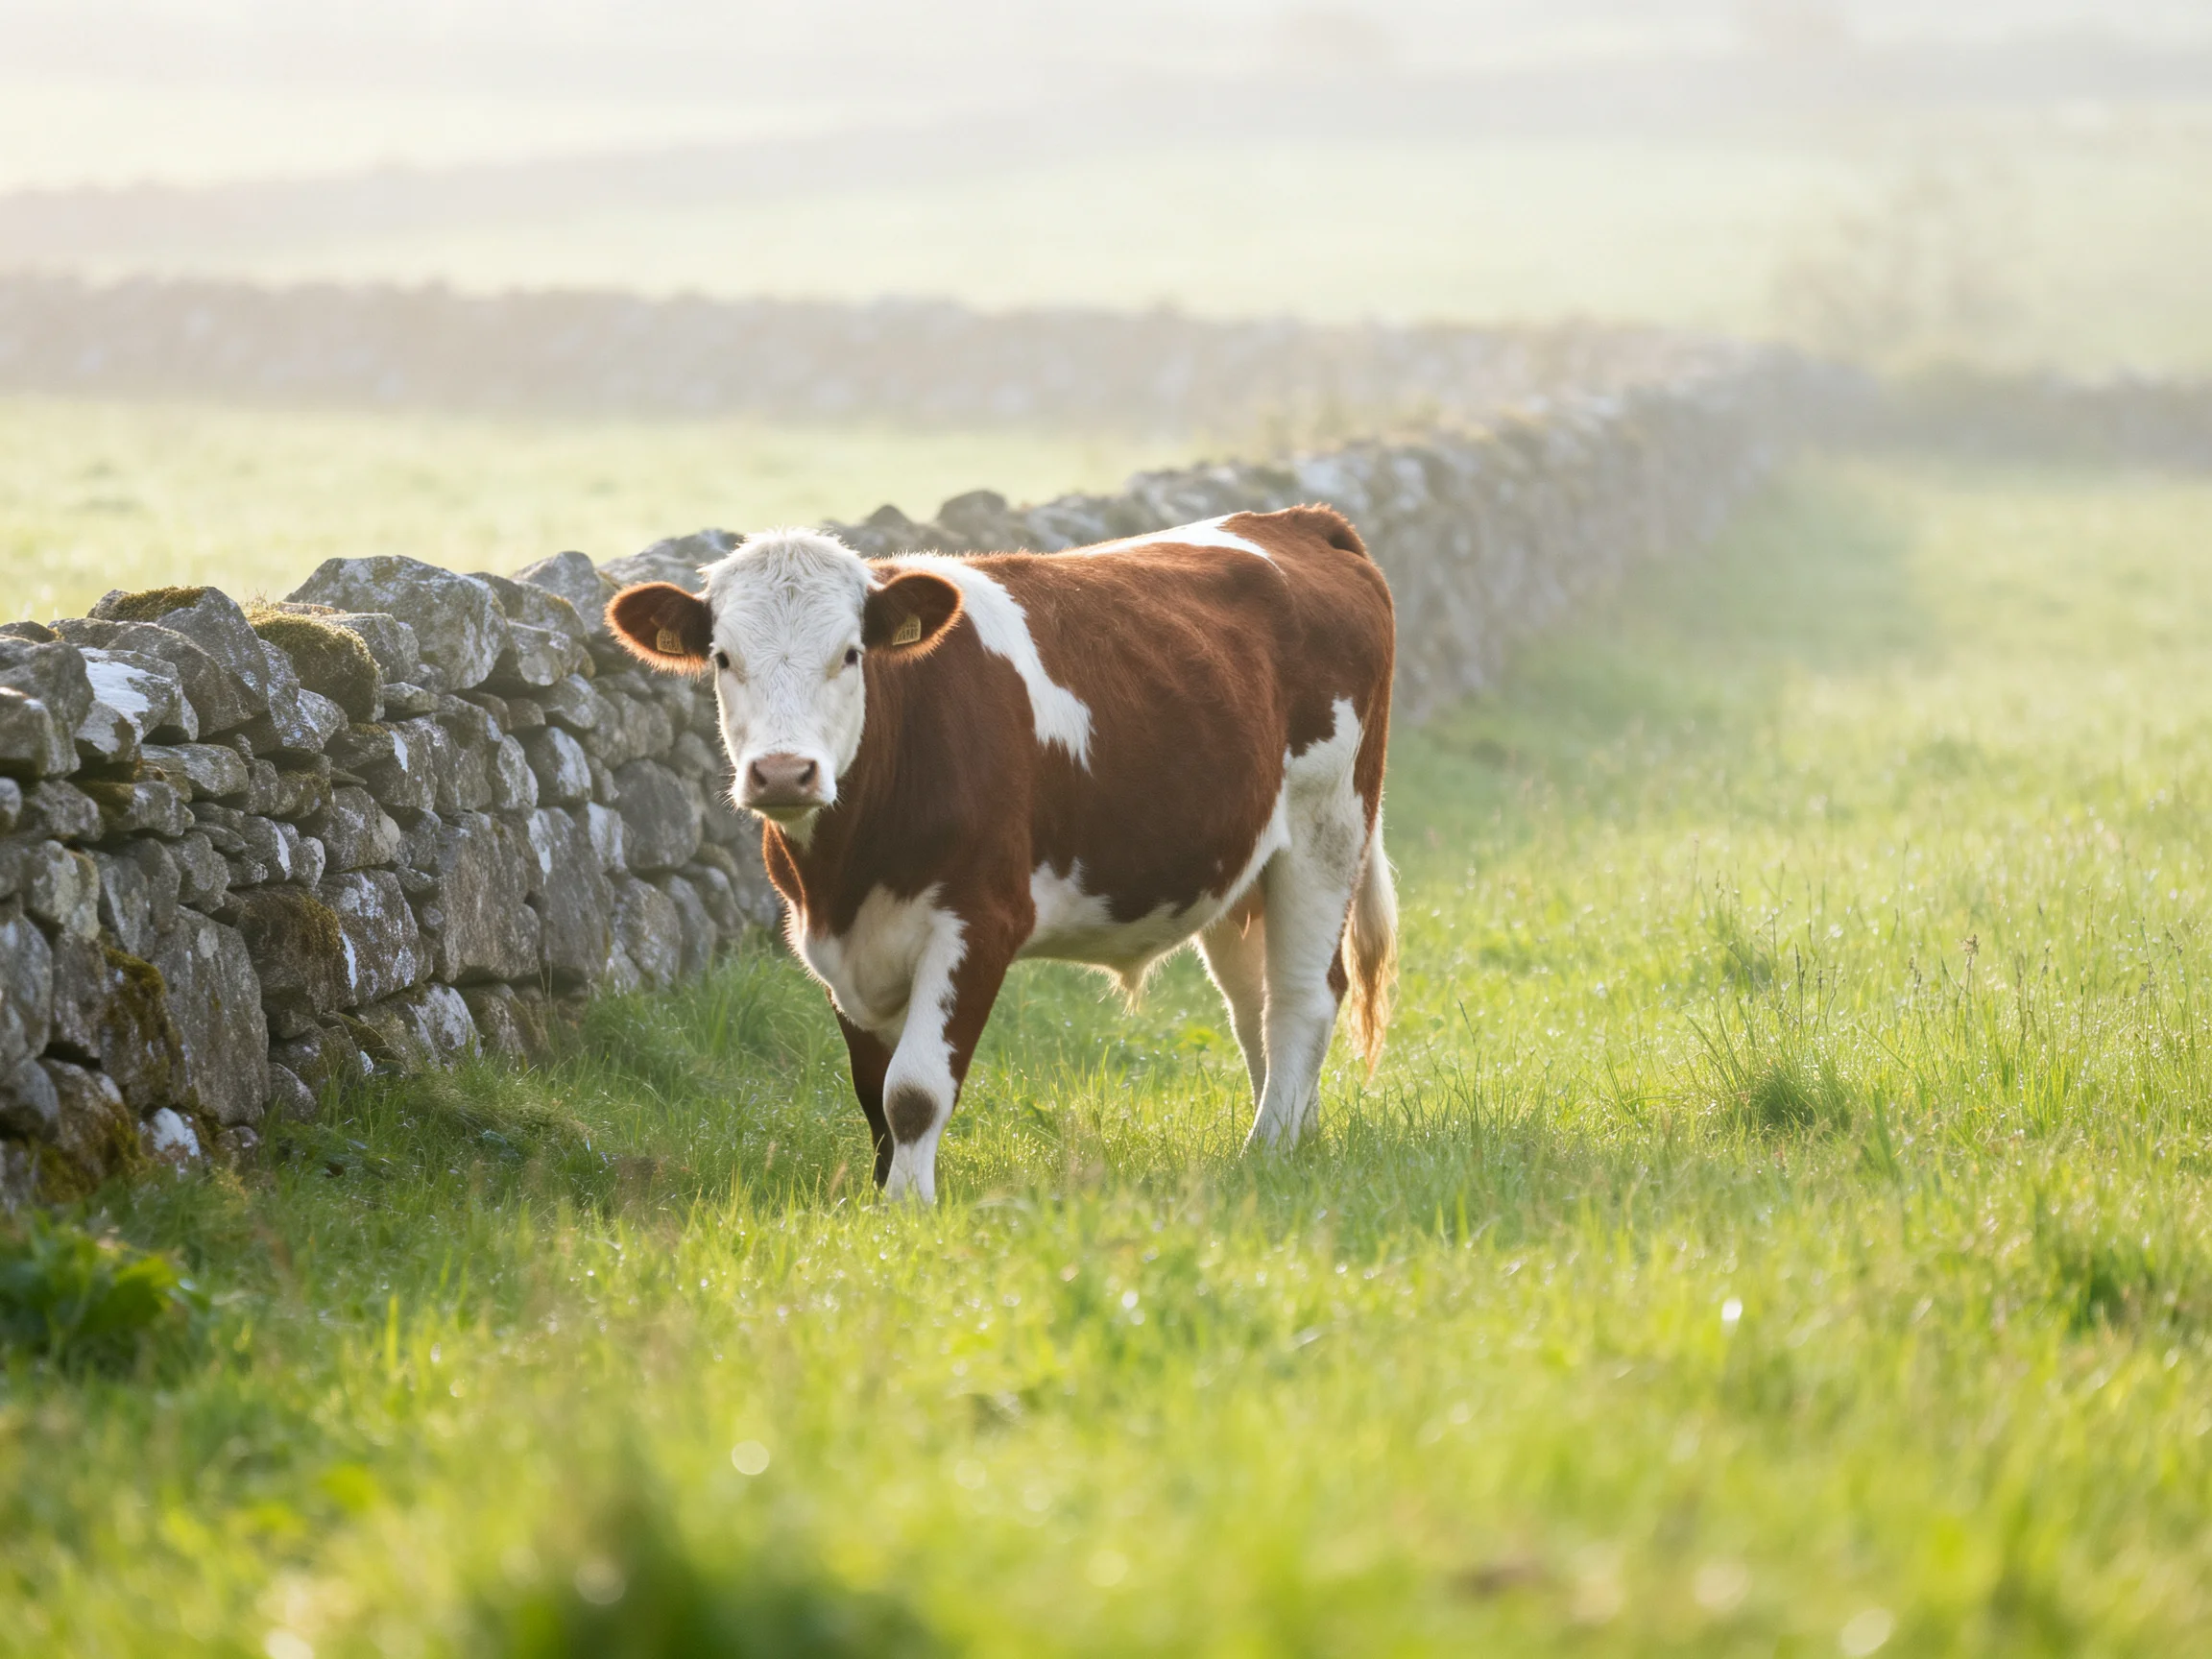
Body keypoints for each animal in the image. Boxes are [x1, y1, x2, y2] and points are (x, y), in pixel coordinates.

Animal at [607, 505, 1397, 1202]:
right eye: (722, 657)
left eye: (851, 655)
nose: (781, 773)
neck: (847, 871)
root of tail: (1295, 520)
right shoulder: (837, 946)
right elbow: (871, 1091)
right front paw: (879, 1200)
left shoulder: (979, 919)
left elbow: (914, 1091)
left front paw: (909, 1212)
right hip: (1237, 866)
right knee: (1252, 1003)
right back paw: (1295, 1135)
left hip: (1328, 828)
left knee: (1303, 995)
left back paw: (1268, 1148)